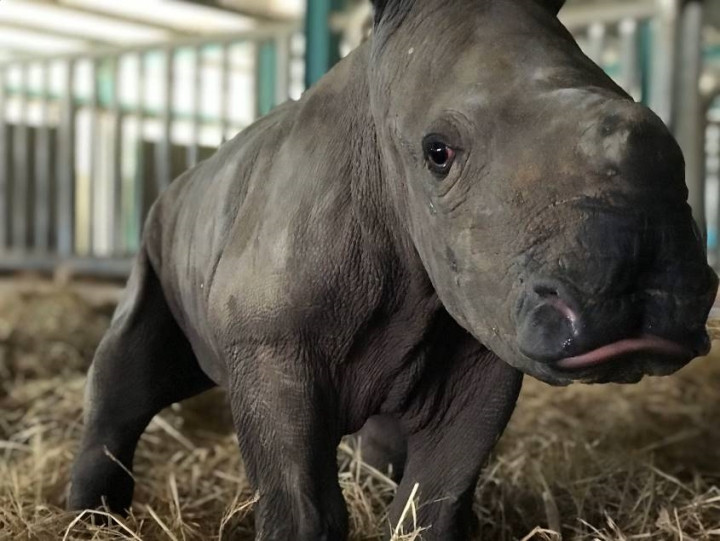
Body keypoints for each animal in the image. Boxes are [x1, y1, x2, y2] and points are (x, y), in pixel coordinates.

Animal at [69, 0, 719, 539]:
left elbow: (436, 497)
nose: (640, 289)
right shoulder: (269, 343)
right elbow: (300, 502)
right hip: (159, 232)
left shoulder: (479, 345)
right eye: (438, 153)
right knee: (128, 368)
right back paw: (91, 520)